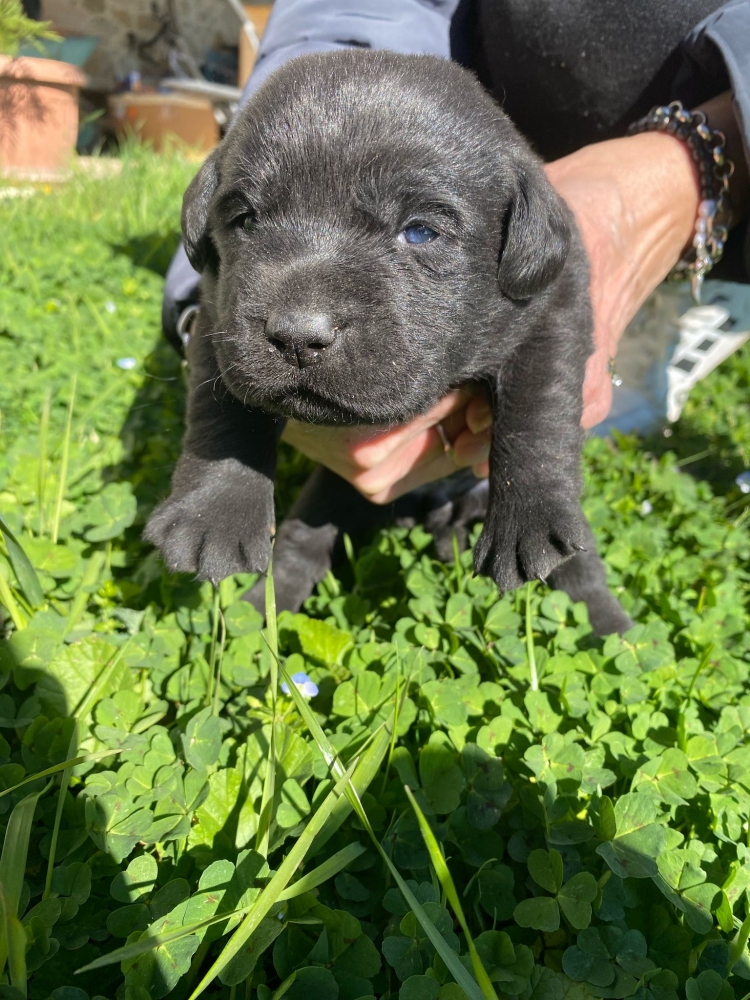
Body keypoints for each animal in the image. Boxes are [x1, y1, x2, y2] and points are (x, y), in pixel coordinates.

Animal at [147, 48, 636, 632]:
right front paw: (213, 513)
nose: (298, 336)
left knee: (580, 568)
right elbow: (221, 415)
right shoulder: (218, 318)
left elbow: (538, 410)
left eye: (420, 231)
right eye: (245, 219)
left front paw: (530, 516)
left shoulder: (554, 308)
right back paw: (260, 615)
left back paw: (613, 629)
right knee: (299, 545)